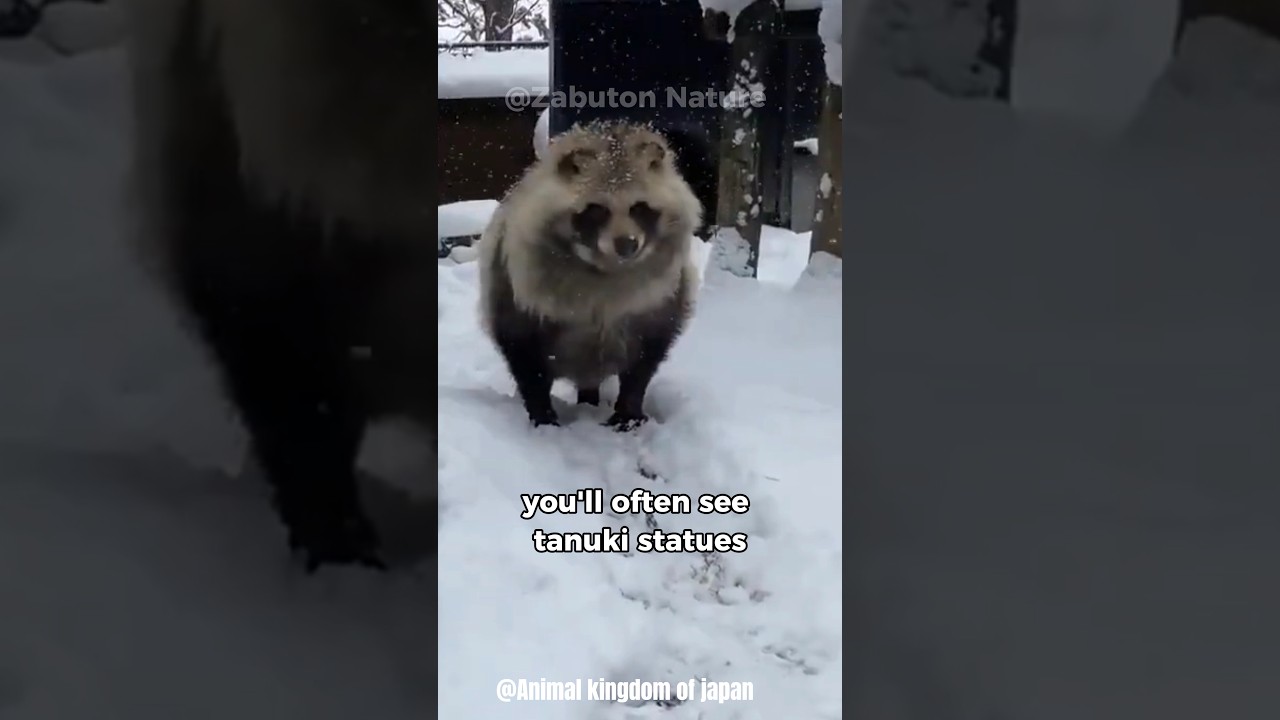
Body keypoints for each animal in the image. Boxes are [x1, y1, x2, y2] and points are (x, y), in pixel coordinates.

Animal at [477, 121, 702, 430]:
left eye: (639, 207)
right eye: (598, 209)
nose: (627, 244)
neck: (605, 267)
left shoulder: (660, 300)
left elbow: (643, 361)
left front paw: (628, 412)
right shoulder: (516, 284)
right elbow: (525, 356)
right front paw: (542, 416)